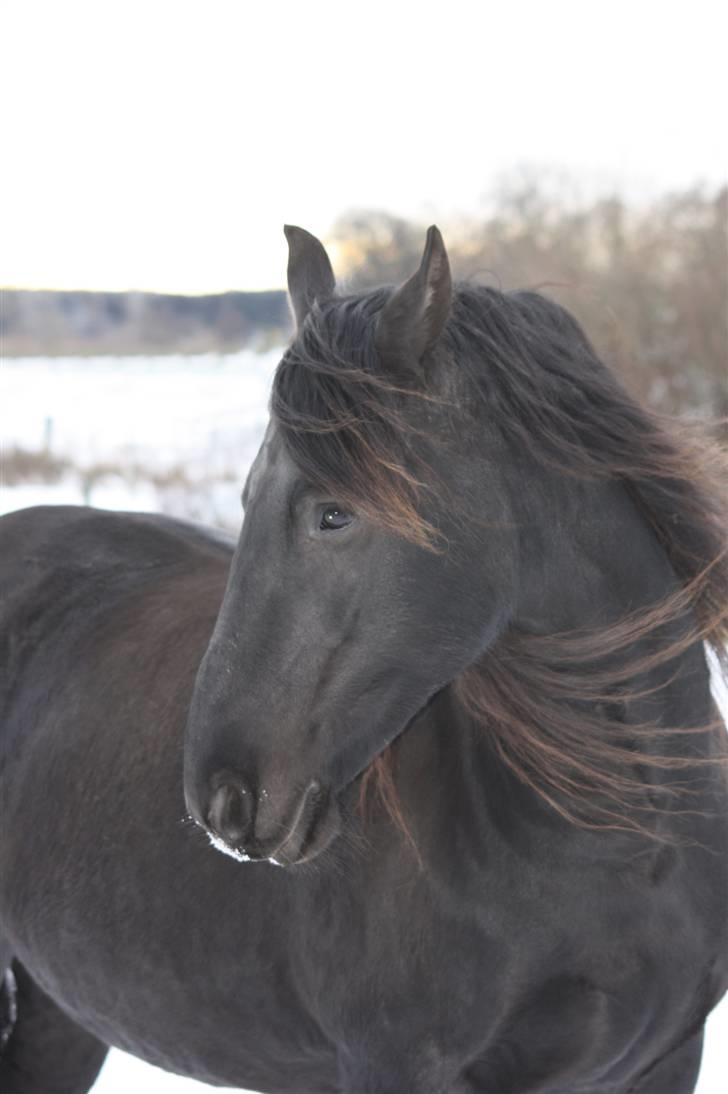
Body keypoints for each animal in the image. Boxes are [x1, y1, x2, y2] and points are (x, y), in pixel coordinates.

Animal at [1, 226, 726, 1089]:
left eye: (333, 514)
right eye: (245, 499)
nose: (223, 798)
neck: (619, 850)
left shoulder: (669, 1060)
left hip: (60, 1018)